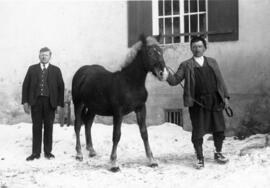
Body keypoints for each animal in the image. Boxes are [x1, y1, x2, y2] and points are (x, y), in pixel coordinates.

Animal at [71, 35, 169, 172]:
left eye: (161, 52)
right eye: (150, 53)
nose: (163, 73)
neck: (130, 83)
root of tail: (82, 72)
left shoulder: (141, 108)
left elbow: (144, 133)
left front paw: (152, 160)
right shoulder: (118, 112)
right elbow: (116, 135)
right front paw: (114, 163)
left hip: (92, 108)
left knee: (88, 124)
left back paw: (91, 150)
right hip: (78, 104)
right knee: (78, 125)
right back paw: (79, 154)